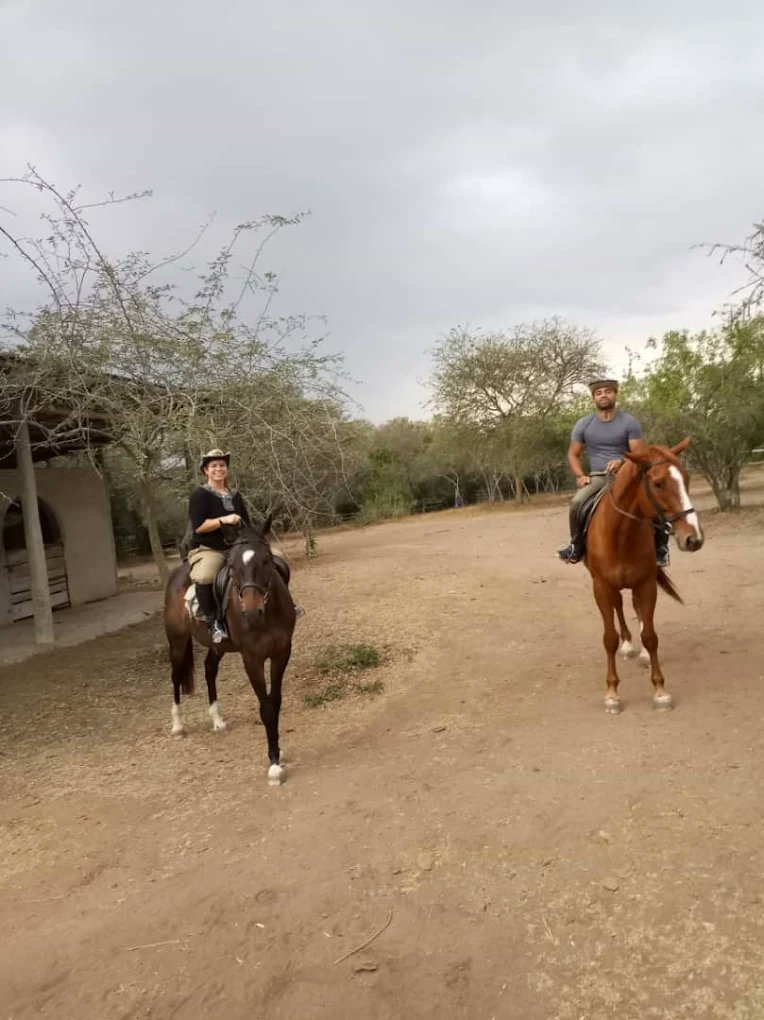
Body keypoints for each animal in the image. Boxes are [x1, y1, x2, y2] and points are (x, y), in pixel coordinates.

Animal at [163, 514, 296, 785]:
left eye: (266, 560)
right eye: (232, 566)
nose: (252, 614)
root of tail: (178, 574)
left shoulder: (281, 652)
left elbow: (275, 702)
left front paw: (277, 752)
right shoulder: (252, 659)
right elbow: (266, 707)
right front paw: (274, 765)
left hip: (217, 646)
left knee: (209, 670)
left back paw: (217, 720)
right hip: (177, 641)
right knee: (175, 676)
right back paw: (178, 725)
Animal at [584, 438, 704, 714]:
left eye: (686, 478)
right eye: (658, 483)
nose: (693, 538)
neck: (620, 534)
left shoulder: (645, 584)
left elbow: (650, 636)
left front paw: (660, 692)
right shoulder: (601, 587)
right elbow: (609, 639)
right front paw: (612, 694)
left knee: (634, 607)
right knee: (619, 606)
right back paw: (628, 645)